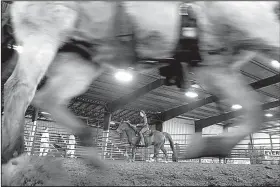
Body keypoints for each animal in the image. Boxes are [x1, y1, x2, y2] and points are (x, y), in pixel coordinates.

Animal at [2, 0, 280, 167]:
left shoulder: (215, 67)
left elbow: (253, 109)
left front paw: (212, 146)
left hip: (80, 58)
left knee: (48, 97)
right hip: (46, 33)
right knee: (20, 87)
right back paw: (15, 153)